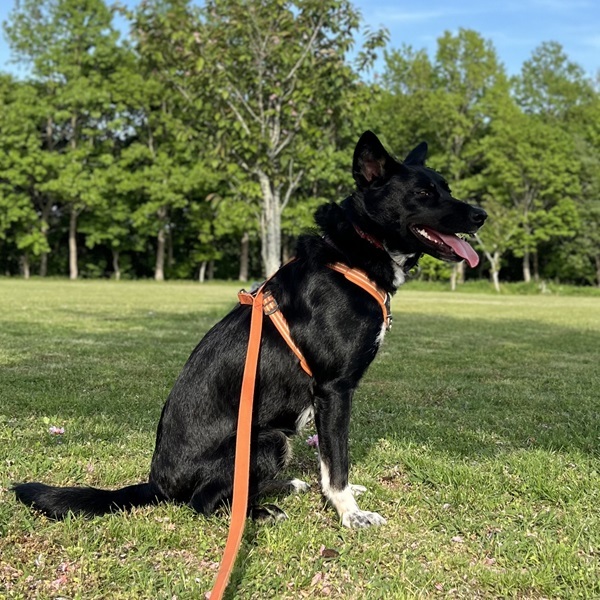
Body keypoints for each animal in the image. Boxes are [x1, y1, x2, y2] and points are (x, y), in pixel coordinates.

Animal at [14, 131, 486, 528]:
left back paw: (283, 488)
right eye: (424, 193)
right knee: (204, 502)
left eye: (445, 187)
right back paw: (260, 511)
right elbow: (337, 461)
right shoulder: (333, 389)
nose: (482, 214)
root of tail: (157, 483)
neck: (354, 254)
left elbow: (329, 463)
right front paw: (349, 514)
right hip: (268, 440)